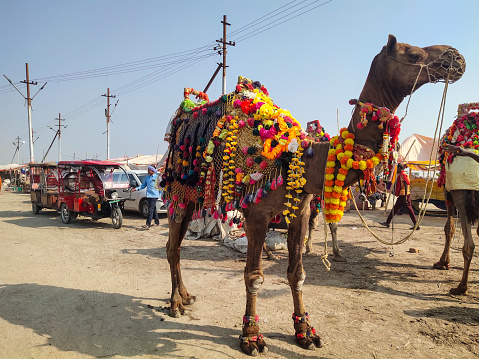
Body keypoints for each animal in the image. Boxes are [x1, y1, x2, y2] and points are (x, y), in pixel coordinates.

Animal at [162, 35, 464, 356]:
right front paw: (251, 336)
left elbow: (297, 273)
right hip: (178, 190)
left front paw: (305, 331)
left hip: (193, 197)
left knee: (176, 245)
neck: (298, 158)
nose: (456, 58)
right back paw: (175, 304)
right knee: (173, 246)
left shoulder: (301, 212)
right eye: (414, 54)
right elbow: (254, 276)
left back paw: (186, 296)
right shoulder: (256, 214)